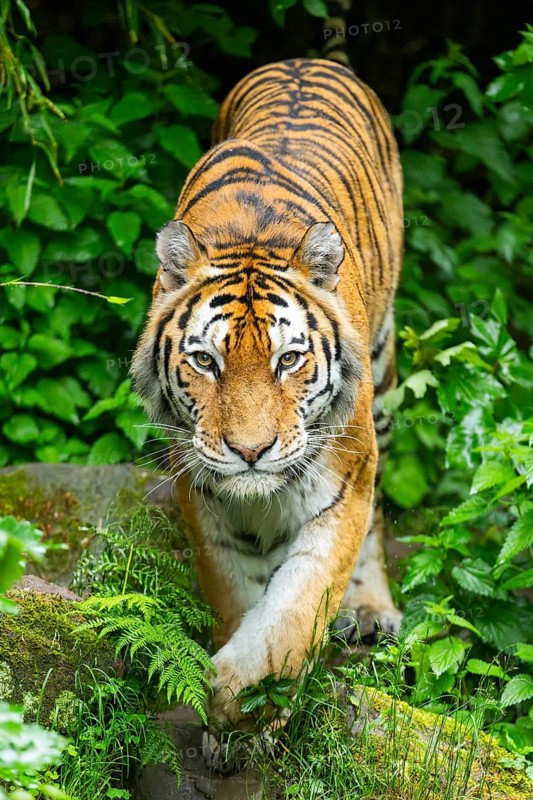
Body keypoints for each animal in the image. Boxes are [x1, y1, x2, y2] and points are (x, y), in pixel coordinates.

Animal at [131, 51, 403, 738]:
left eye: (289, 360)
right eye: (206, 361)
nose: (251, 453)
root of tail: (305, 58)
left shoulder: (342, 484)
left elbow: (294, 609)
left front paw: (241, 697)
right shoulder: (200, 492)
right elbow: (237, 595)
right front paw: (225, 721)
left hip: (384, 381)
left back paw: (370, 611)